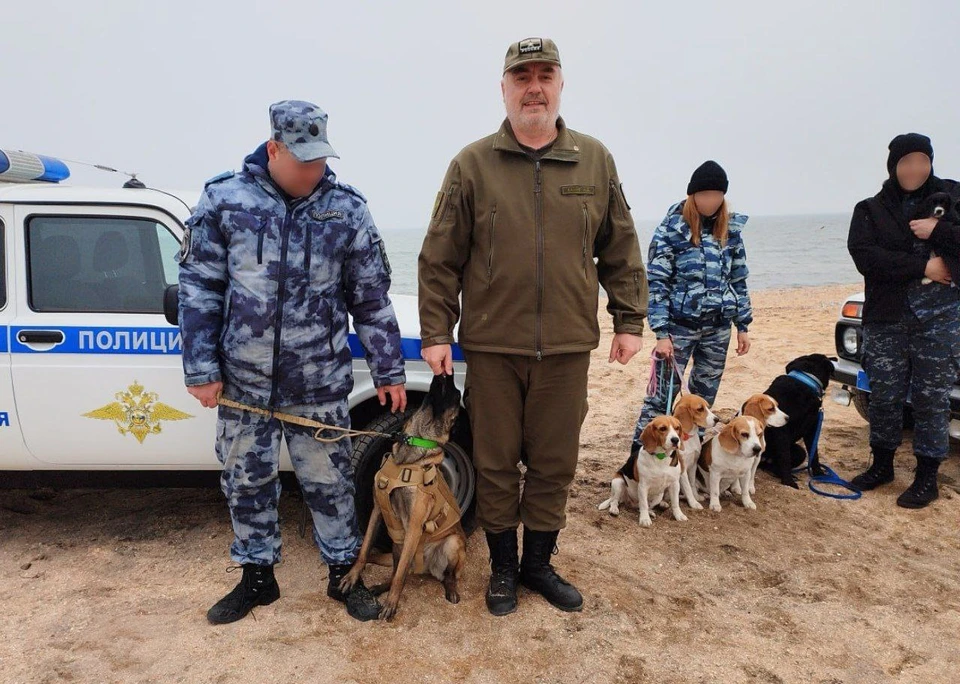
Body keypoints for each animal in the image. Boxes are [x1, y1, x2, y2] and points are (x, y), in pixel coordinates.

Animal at [756, 352, 832, 486]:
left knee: (772, 466)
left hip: (799, 452)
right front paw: (788, 481)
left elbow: (814, 454)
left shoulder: (811, 430)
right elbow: (785, 457)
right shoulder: (781, 431)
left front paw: (819, 473)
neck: (806, 382)